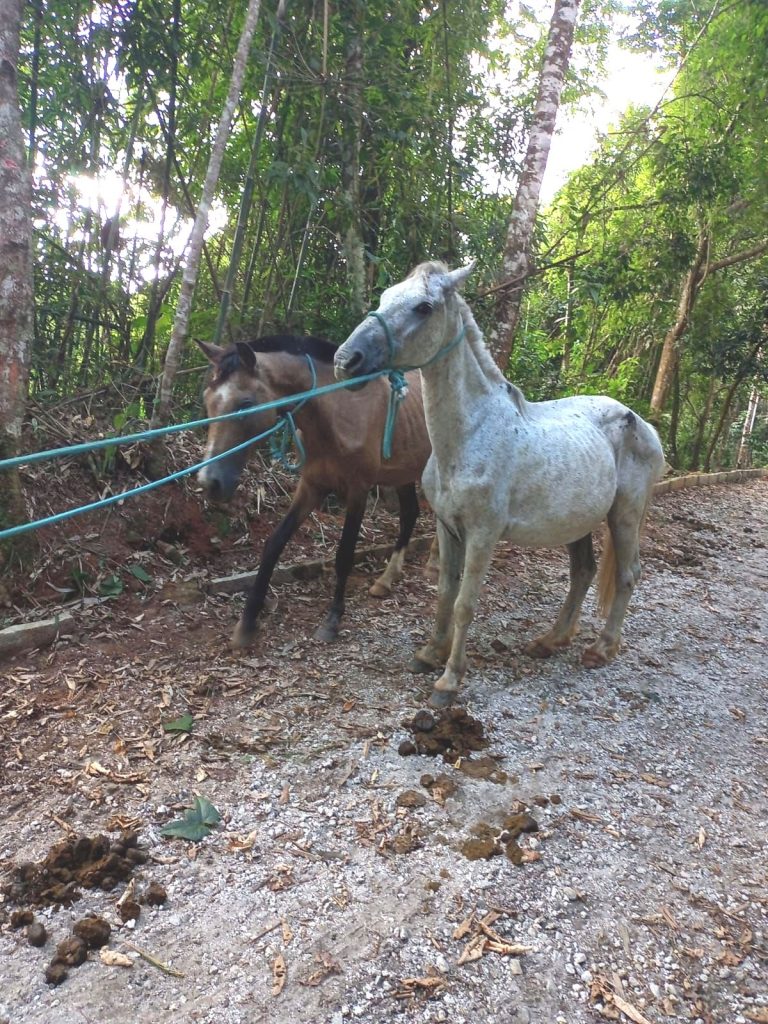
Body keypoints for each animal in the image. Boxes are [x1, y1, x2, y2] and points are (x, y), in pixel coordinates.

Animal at [196, 335, 433, 646]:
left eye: (245, 404)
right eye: (207, 400)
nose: (208, 482)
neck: (337, 413)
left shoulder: (358, 491)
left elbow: (344, 555)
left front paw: (332, 619)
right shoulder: (311, 486)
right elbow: (274, 545)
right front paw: (247, 623)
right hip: (403, 474)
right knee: (410, 514)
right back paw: (386, 580)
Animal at [334, 260, 665, 708]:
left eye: (423, 307)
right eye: (386, 296)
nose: (347, 359)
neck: (472, 434)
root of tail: (641, 423)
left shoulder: (482, 535)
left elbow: (465, 604)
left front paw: (449, 680)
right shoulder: (446, 527)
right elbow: (444, 592)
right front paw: (429, 653)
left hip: (625, 514)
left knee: (628, 574)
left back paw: (601, 649)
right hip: (576, 522)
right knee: (583, 572)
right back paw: (551, 640)